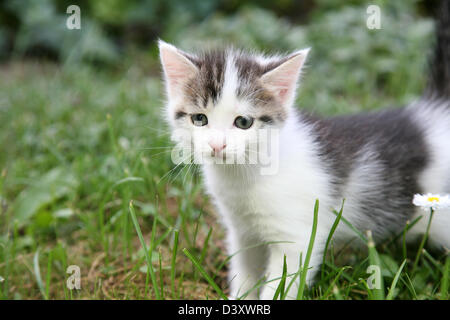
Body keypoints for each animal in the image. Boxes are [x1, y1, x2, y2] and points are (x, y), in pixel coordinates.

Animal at [159, 3, 450, 300]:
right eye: (200, 119)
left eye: (243, 122)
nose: (217, 145)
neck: (244, 174)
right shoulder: (242, 230)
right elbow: (245, 272)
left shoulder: (296, 238)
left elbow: (282, 283)